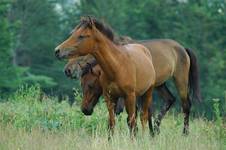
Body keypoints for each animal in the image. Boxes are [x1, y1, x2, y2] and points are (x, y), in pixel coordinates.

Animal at [65, 38, 201, 134]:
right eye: (82, 85)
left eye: (91, 85)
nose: (85, 109)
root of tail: (183, 48)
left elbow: (130, 115)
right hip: (160, 85)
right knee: (170, 99)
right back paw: (156, 129)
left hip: (180, 81)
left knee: (186, 105)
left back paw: (184, 133)